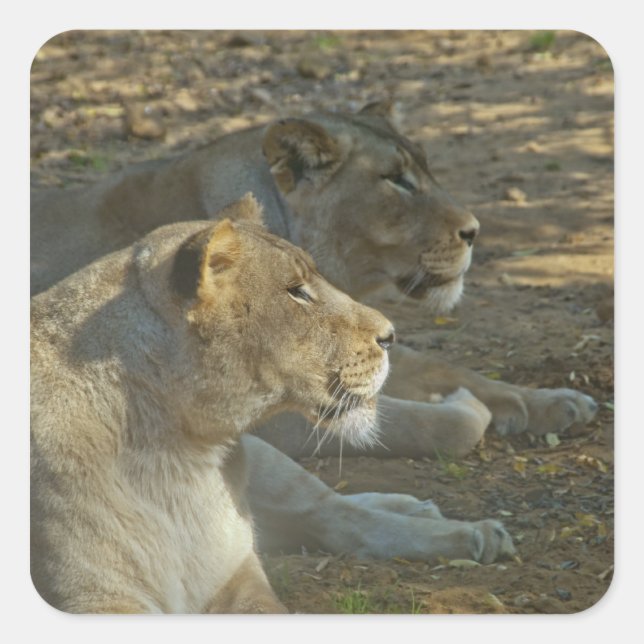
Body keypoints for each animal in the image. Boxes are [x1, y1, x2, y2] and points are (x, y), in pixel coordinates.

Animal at [31, 103, 594, 560]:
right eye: (396, 180)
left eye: (426, 169)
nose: (474, 231)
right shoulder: (269, 418)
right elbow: (422, 422)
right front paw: (470, 409)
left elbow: (439, 364)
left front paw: (549, 400)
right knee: (333, 518)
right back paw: (463, 533)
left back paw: (415, 506)